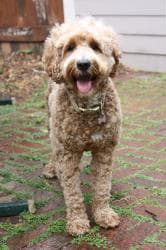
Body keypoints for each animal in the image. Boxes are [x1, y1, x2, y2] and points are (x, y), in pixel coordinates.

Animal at [41, 17, 122, 236]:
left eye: (95, 46)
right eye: (70, 47)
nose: (83, 64)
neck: (87, 107)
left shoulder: (104, 150)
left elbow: (102, 187)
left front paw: (104, 214)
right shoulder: (67, 153)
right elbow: (72, 192)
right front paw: (77, 222)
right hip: (52, 127)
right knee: (53, 150)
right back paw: (52, 168)